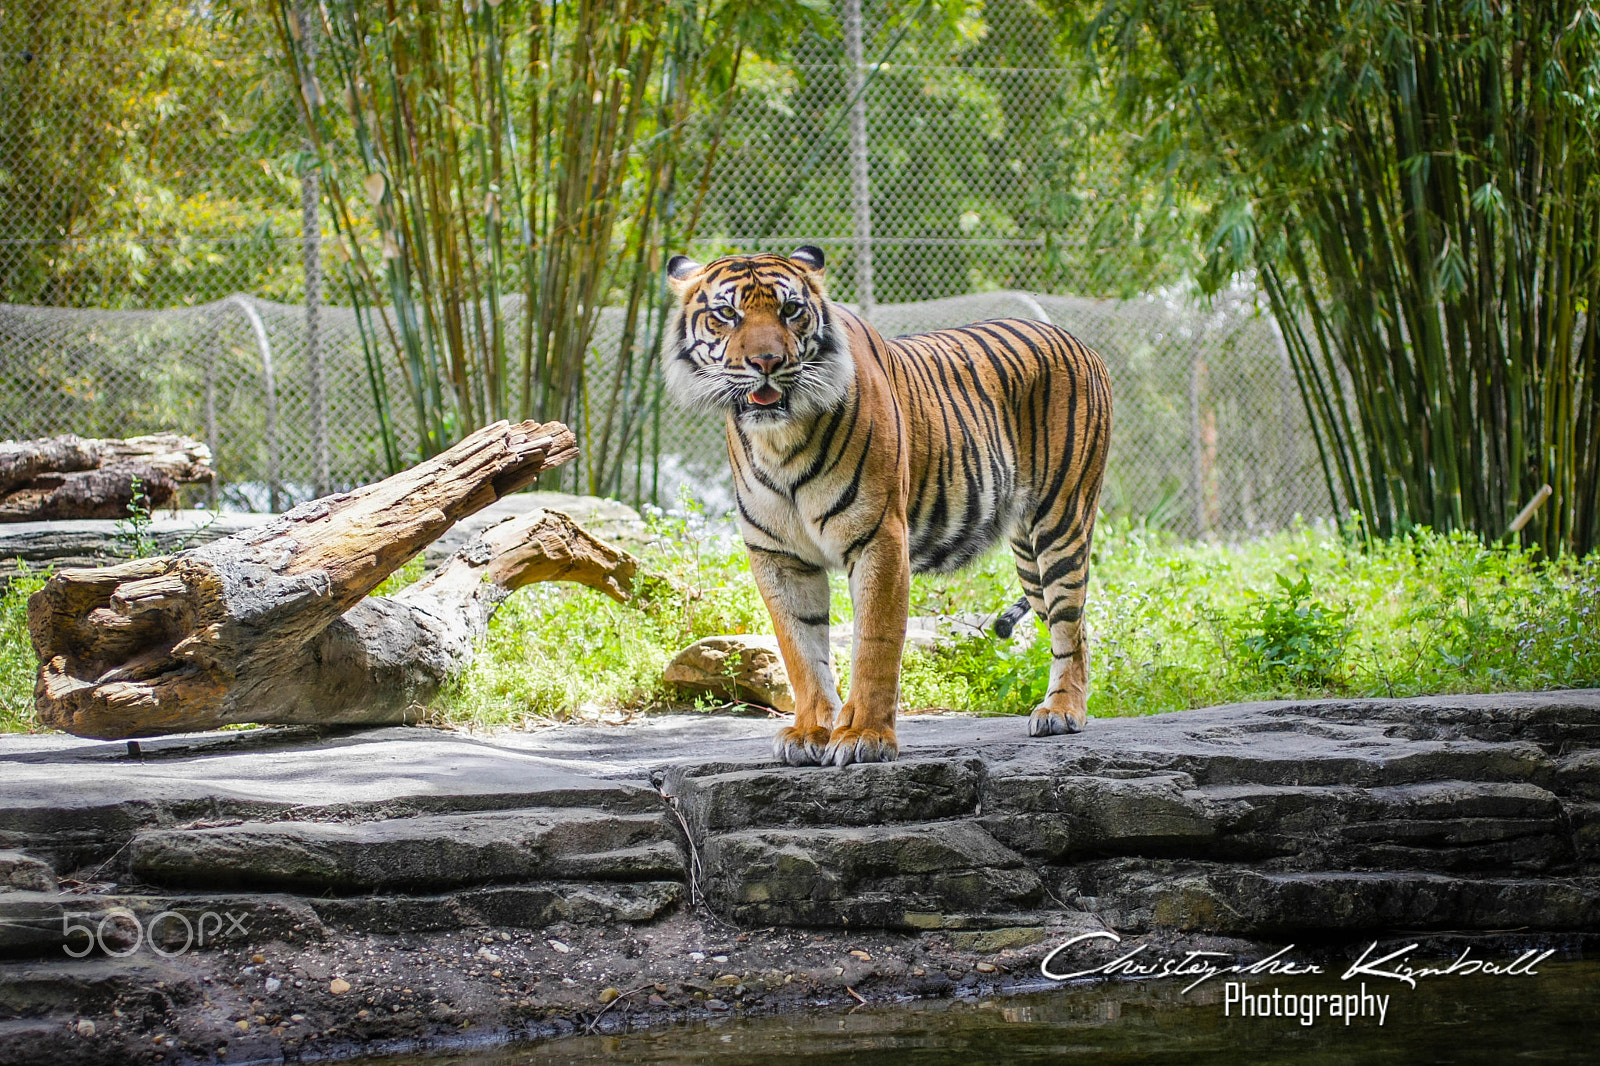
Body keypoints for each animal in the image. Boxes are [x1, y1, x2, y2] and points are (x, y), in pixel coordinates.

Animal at [662, 244, 1113, 765]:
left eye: (790, 310)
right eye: (727, 315)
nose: (766, 361)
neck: (778, 438)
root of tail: (1079, 341)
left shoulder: (879, 537)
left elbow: (874, 644)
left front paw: (864, 736)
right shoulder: (778, 555)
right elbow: (800, 649)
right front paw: (810, 731)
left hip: (1060, 522)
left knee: (1069, 624)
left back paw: (1062, 711)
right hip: (1027, 556)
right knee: (1073, 624)